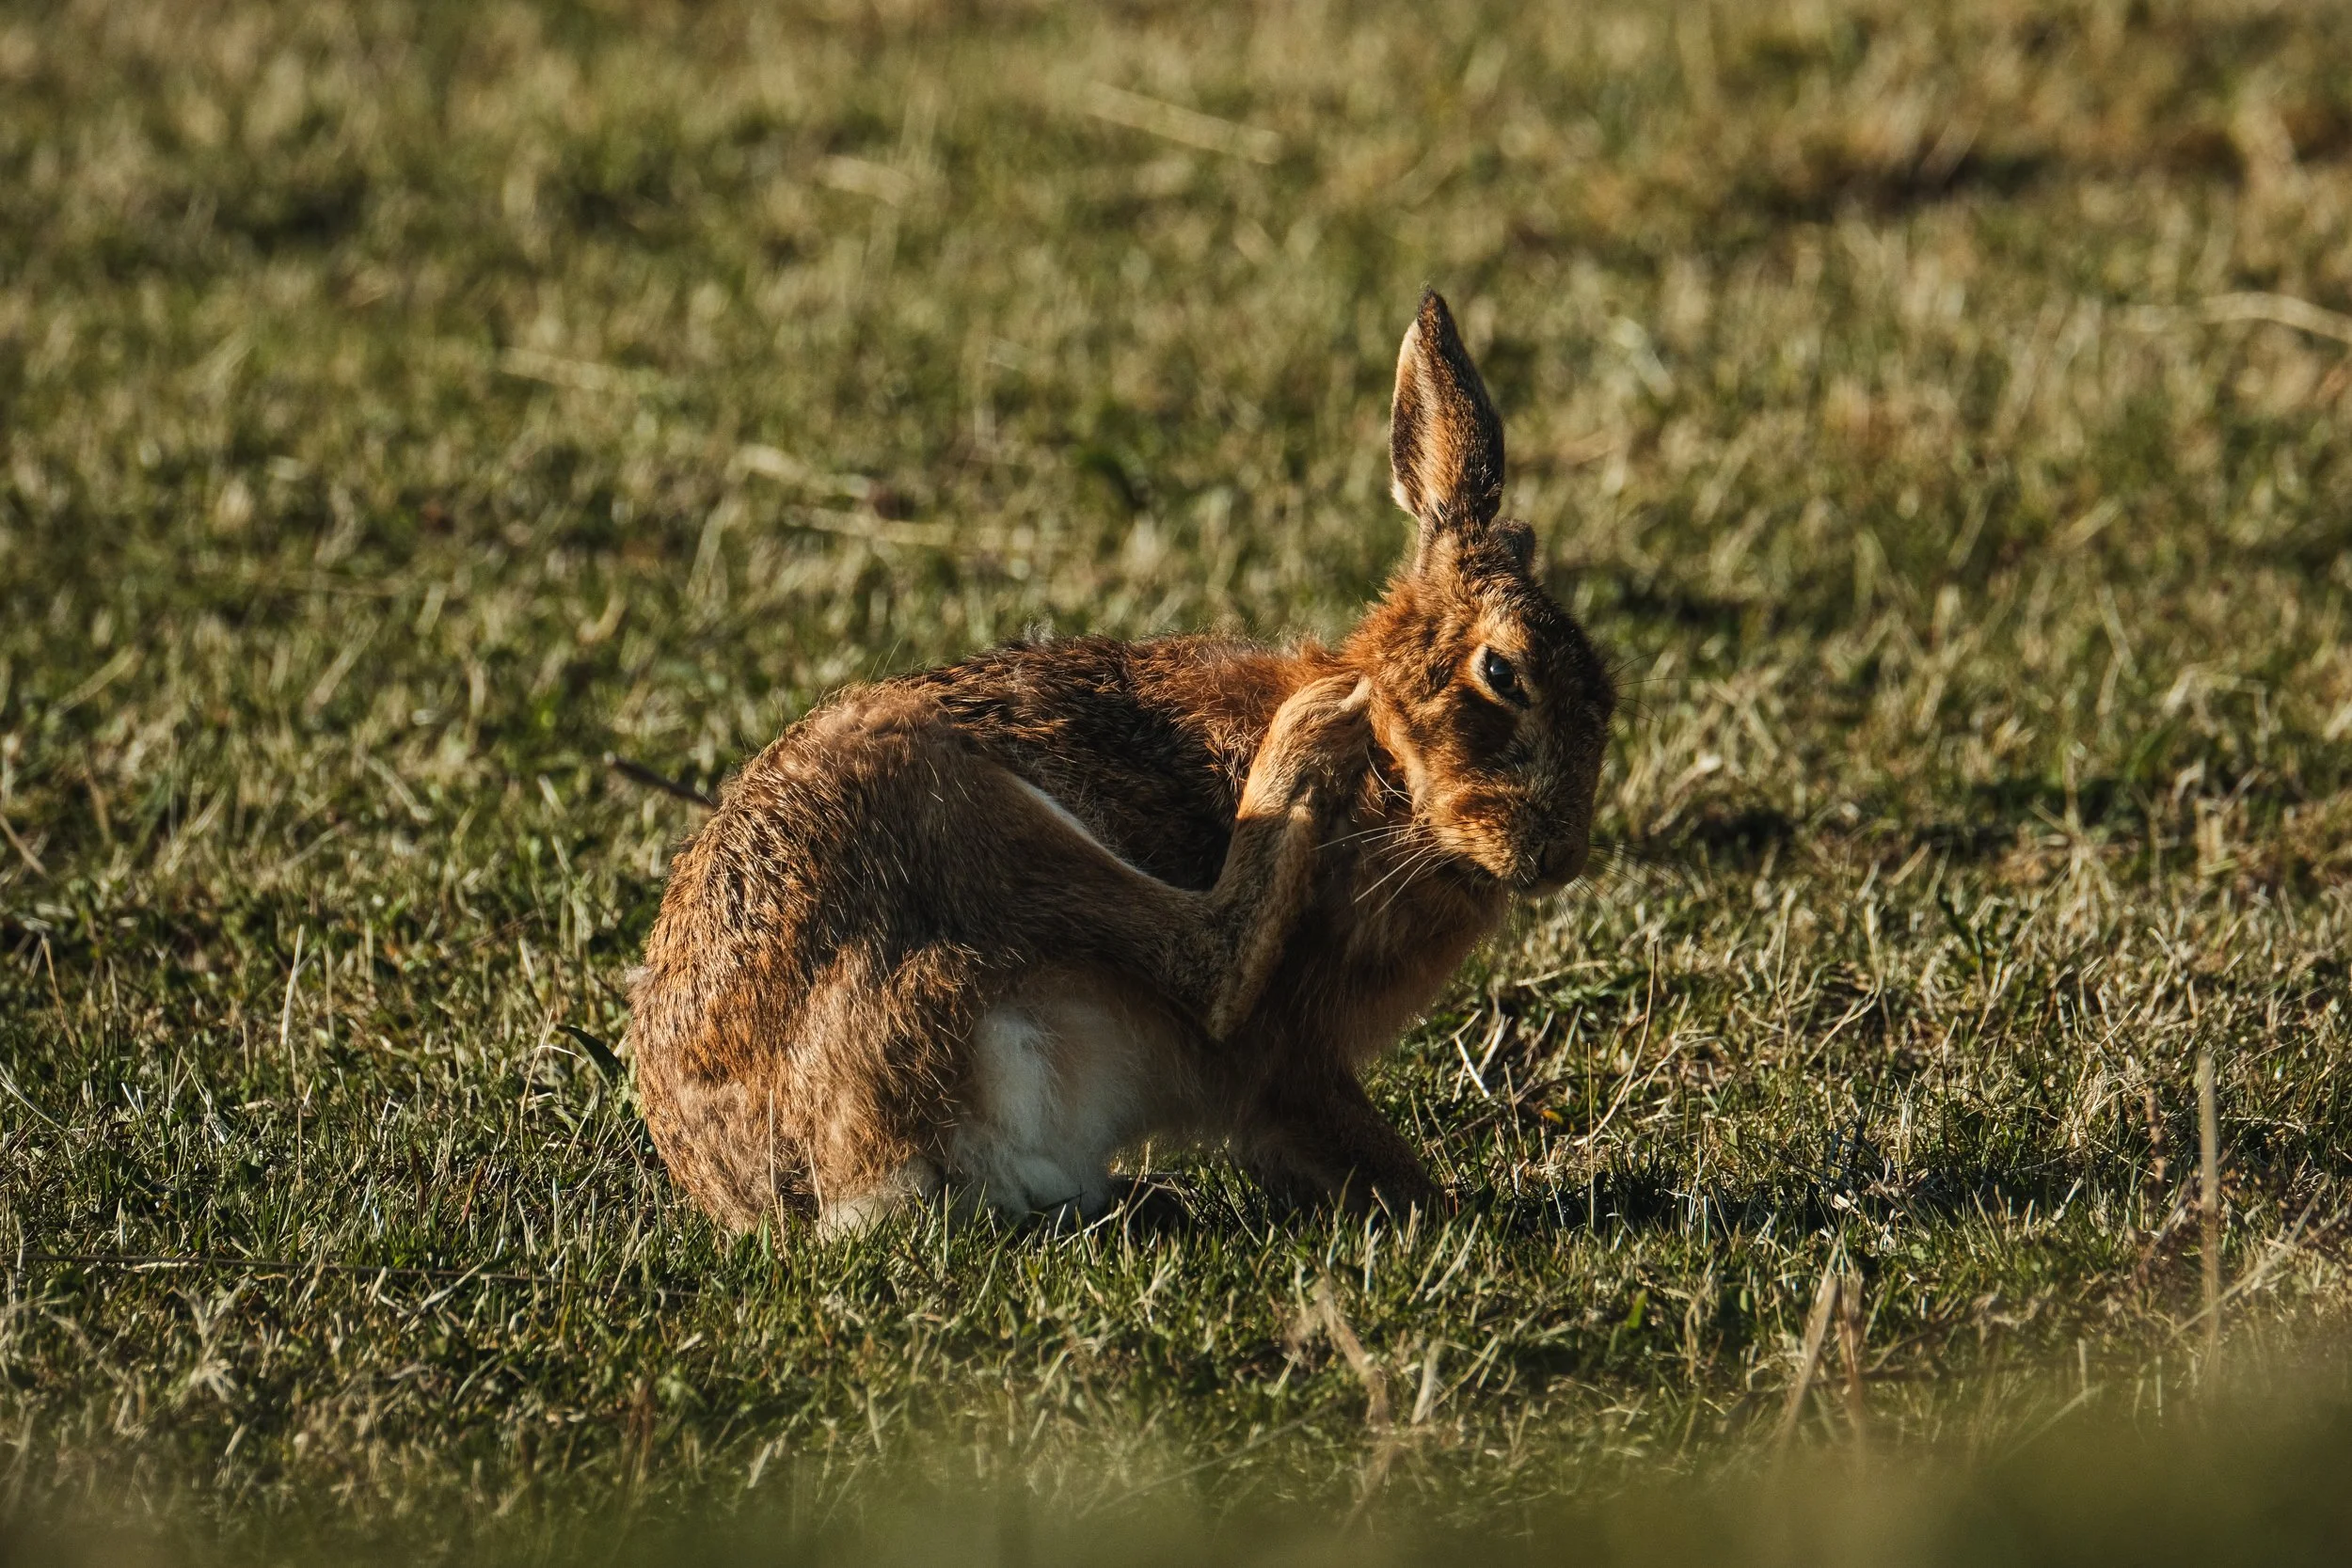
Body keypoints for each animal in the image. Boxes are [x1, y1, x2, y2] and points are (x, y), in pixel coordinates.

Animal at [630, 290, 1615, 1235]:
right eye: (1503, 672)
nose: (1560, 858)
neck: (1395, 775)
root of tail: (792, 1187)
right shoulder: (1289, 1057)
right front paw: (1438, 1202)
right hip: (936, 790)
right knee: (1203, 959)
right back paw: (1312, 728)